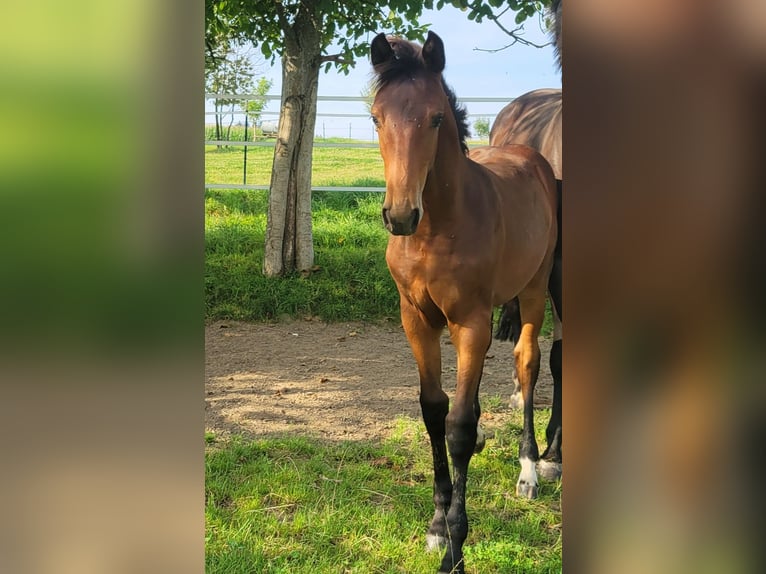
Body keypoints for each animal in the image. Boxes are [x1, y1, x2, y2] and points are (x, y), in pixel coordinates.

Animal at [370, 31, 560, 574]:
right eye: (376, 117)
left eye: (436, 118)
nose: (400, 214)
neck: (436, 231)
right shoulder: (417, 321)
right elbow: (435, 410)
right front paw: (437, 526)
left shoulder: (470, 321)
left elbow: (456, 425)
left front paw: (455, 546)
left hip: (536, 287)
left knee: (528, 362)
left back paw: (530, 468)